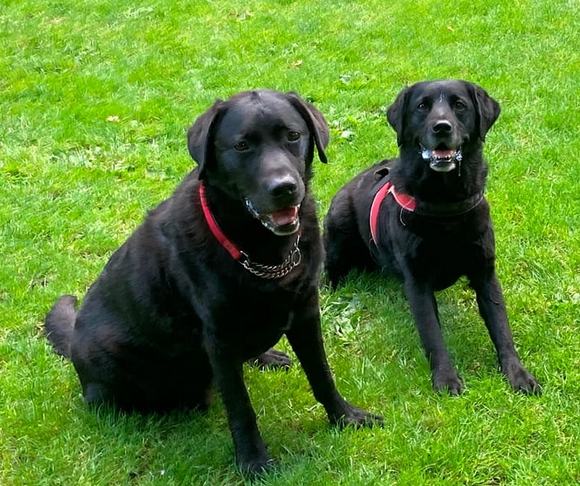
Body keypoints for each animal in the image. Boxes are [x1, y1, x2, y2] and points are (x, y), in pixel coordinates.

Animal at [45, 89, 381, 476]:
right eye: (242, 145)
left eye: (293, 136)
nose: (284, 188)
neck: (262, 251)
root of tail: (73, 342)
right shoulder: (219, 338)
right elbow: (241, 409)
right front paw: (253, 462)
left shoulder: (306, 312)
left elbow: (322, 375)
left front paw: (346, 417)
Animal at [323, 80, 540, 396]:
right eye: (422, 106)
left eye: (459, 105)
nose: (441, 127)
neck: (445, 205)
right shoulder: (418, 282)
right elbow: (433, 335)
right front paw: (446, 378)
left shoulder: (485, 273)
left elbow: (502, 328)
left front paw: (517, 374)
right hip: (338, 231)